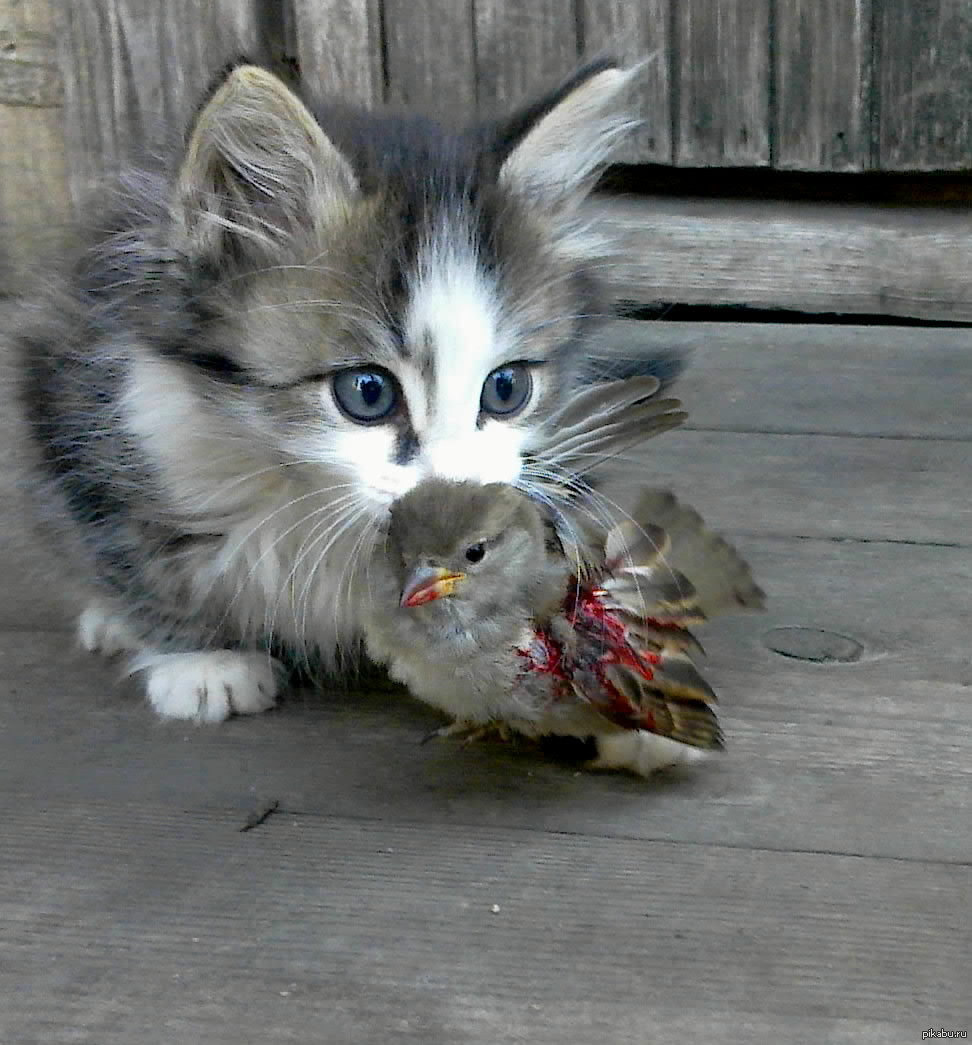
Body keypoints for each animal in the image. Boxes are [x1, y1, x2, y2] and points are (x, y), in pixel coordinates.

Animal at [7, 61, 668, 723]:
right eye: (367, 393)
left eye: (507, 389)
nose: (456, 502)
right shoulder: (94, 416)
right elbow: (133, 552)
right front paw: (200, 659)